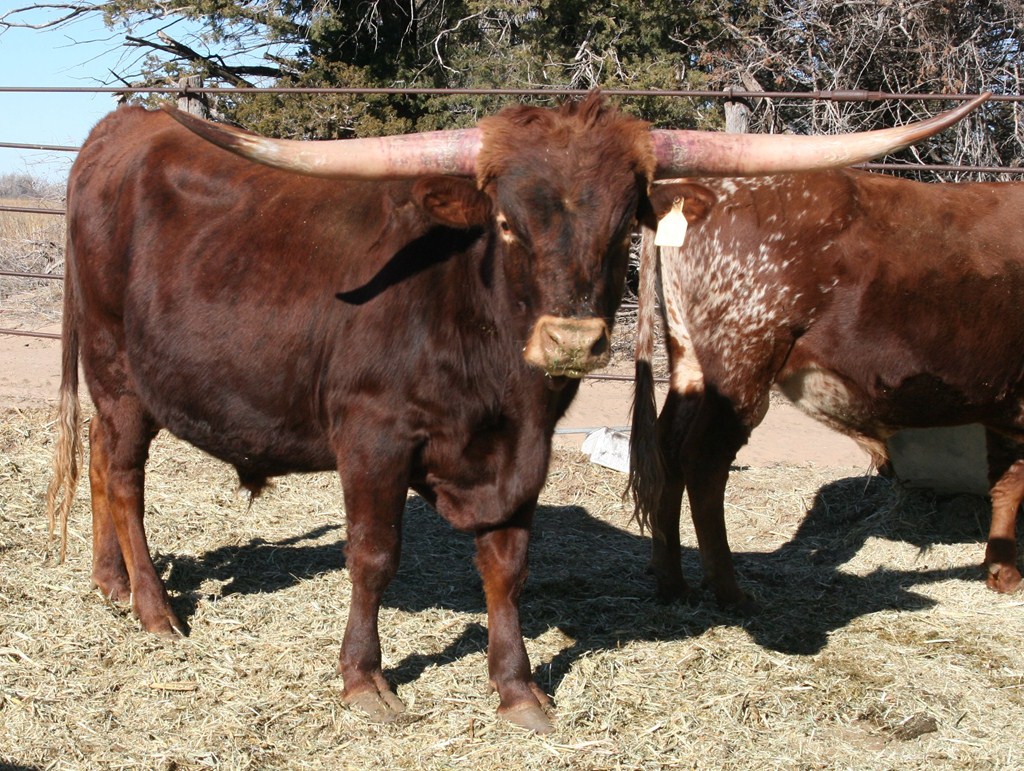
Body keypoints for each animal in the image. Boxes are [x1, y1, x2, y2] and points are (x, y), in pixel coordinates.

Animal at [45, 93, 984, 733]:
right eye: (504, 221)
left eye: (625, 223)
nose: (571, 338)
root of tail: (122, 127)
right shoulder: (371, 437)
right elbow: (373, 558)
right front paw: (364, 679)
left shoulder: (522, 457)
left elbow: (507, 567)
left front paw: (517, 685)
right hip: (121, 373)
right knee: (123, 478)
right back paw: (155, 609)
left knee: (101, 465)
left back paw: (108, 584)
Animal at [629, 167, 1024, 616]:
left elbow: (1005, 482)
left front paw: (1000, 571)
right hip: (742, 364)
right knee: (703, 461)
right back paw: (731, 592)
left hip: (691, 364)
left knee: (666, 450)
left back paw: (672, 582)